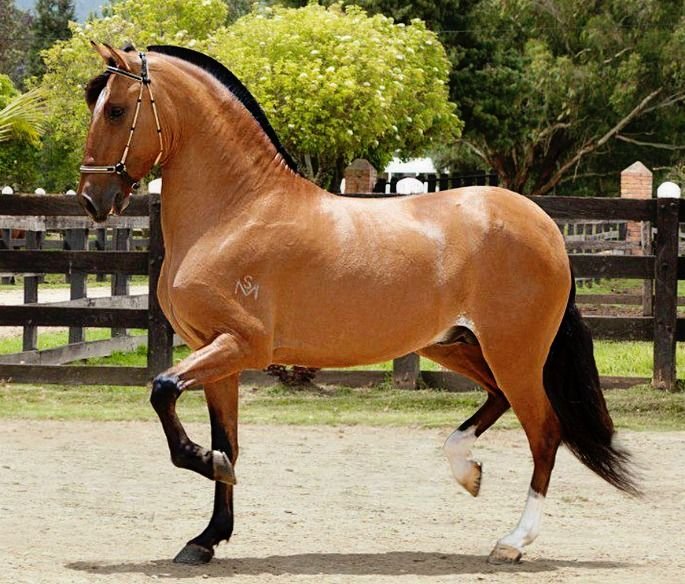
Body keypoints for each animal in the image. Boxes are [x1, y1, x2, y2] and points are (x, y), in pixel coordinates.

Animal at [77, 42, 639, 566]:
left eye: (116, 110)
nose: (90, 199)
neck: (236, 212)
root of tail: (544, 227)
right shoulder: (215, 354)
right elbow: (226, 441)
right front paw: (207, 539)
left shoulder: (240, 346)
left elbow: (164, 391)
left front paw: (209, 473)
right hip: (454, 345)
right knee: (498, 400)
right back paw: (467, 471)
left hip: (515, 353)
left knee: (545, 433)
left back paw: (513, 542)